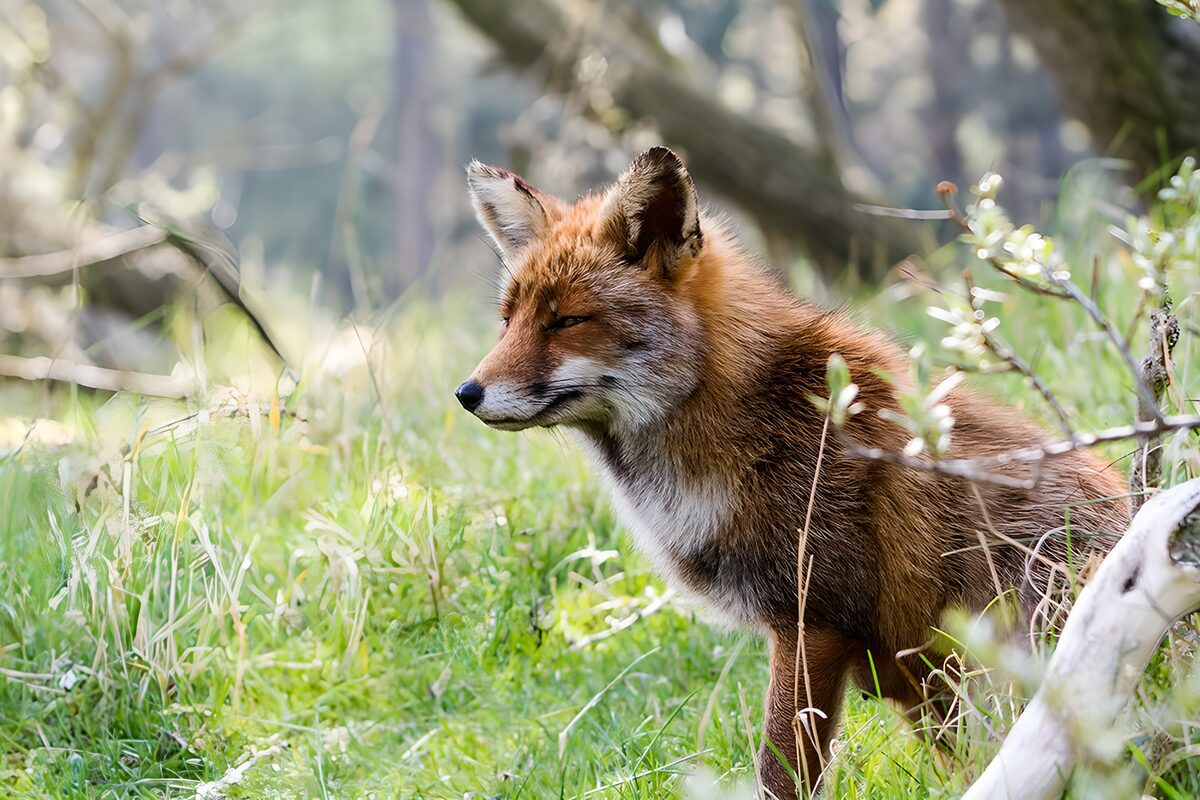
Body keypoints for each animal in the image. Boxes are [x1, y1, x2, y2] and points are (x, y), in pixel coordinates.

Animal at [455, 146, 1130, 798]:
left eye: (566, 321)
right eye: (508, 319)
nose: (467, 393)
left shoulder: (814, 618)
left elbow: (782, 773)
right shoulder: (893, 663)